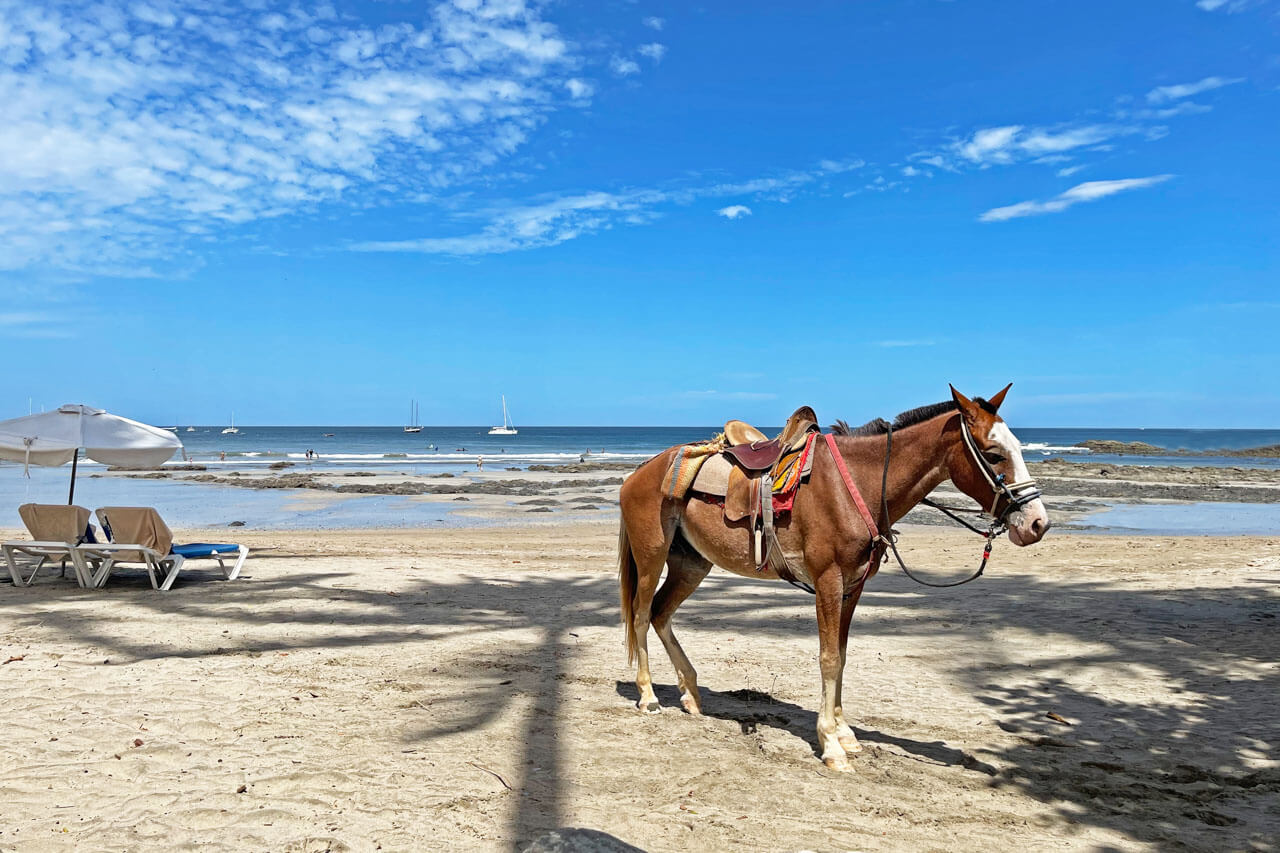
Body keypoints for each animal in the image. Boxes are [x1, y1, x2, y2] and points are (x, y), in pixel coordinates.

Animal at [616, 384, 1051, 771]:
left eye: (1017, 448)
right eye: (994, 454)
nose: (1037, 523)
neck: (857, 483)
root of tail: (639, 472)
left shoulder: (853, 586)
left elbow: (841, 656)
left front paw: (844, 733)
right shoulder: (828, 580)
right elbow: (827, 658)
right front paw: (830, 744)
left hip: (692, 564)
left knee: (661, 614)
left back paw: (690, 693)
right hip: (652, 556)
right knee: (641, 614)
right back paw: (648, 695)